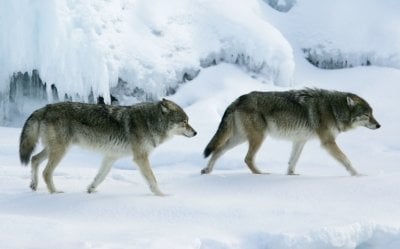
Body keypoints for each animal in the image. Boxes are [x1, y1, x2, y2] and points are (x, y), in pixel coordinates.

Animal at [19, 98, 198, 196]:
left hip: (55, 149)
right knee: (46, 171)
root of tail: (44, 108)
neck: (150, 122)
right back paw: (55, 193)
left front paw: (91, 189)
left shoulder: (111, 157)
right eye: (184, 122)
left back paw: (33, 185)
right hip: (60, 151)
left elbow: (100, 177)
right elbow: (153, 180)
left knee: (34, 159)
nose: (196, 132)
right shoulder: (141, 158)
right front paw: (163, 195)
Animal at [202, 88, 380, 176]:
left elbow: (292, 161)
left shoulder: (300, 140)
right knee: (247, 158)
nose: (379, 126)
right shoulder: (328, 142)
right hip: (258, 137)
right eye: (366, 115)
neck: (333, 109)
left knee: (217, 151)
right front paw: (358, 175)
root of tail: (238, 99)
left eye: (372, 113)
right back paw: (261, 174)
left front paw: (291, 176)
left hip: (239, 138)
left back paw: (207, 171)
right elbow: (346, 160)